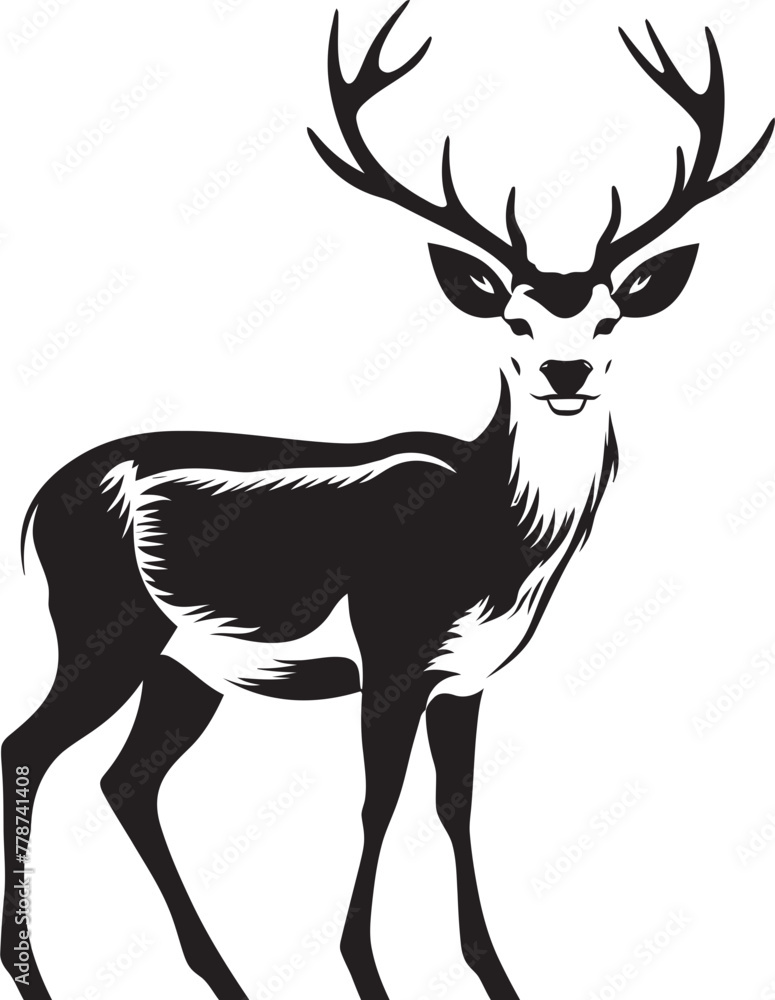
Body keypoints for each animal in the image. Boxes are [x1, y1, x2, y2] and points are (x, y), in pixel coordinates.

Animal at [2, 4, 772, 999]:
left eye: (608, 318)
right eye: (514, 319)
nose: (565, 372)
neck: (493, 542)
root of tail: (37, 505)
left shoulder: (466, 676)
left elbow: (453, 807)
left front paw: (492, 974)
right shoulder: (391, 655)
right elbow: (377, 805)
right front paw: (362, 971)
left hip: (186, 666)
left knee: (128, 780)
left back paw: (223, 977)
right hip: (106, 627)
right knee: (30, 750)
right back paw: (39, 978)